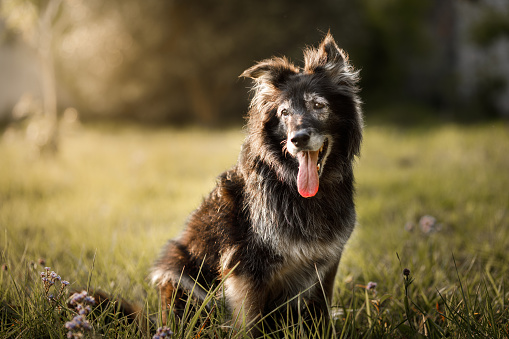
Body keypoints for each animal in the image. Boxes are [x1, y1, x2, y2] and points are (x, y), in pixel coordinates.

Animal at [149, 33, 364, 336]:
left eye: (318, 105)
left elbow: (321, 313)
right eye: (284, 112)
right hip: (176, 269)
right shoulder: (246, 269)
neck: (294, 188)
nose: (298, 138)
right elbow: (248, 324)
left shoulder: (327, 263)